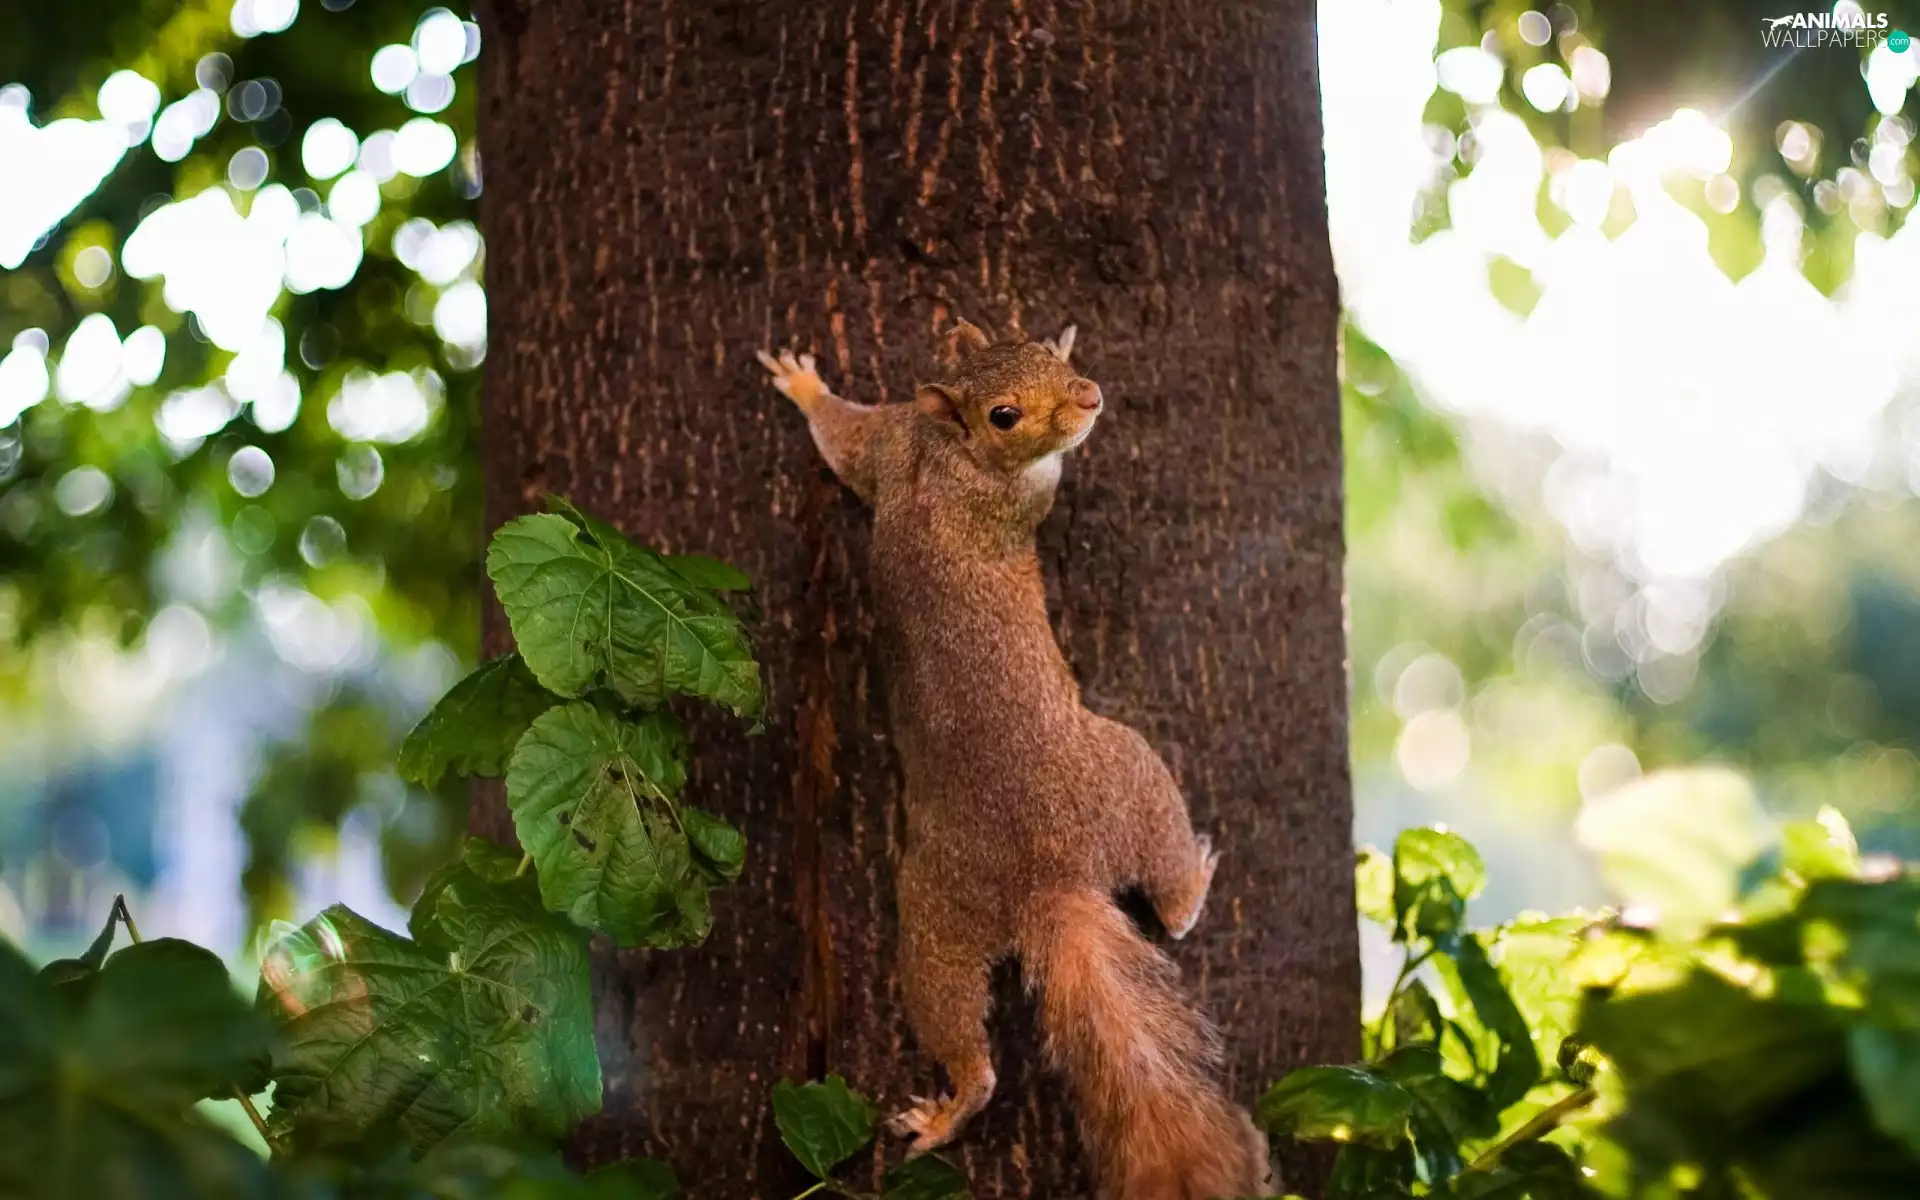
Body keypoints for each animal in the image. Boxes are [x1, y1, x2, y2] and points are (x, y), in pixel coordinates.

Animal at [757, 321, 1272, 1200]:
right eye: (1006, 414)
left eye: (1041, 353)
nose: (1089, 396)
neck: (947, 456)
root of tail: (1048, 877)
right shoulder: (1013, 491)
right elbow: (1048, 481)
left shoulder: (887, 444)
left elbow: (842, 439)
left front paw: (802, 387)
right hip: (1122, 777)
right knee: (1162, 910)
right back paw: (1192, 879)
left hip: (933, 931)